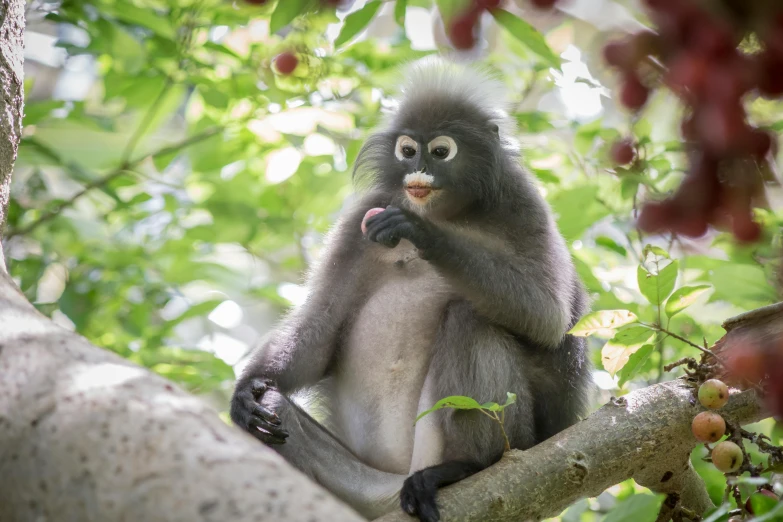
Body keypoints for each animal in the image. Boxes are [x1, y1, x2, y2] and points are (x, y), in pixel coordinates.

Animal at [230, 57, 592, 520]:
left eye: (440, 151)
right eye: (407, 151)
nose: (418, 170)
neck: (451, 212)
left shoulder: (523, 202)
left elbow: (549, 317)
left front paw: (420, 231)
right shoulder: (359, 219)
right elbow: (323, 324)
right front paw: (246, 389)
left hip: (517, 440)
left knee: (471, 318)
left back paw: (464, 467)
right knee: (273, 408)